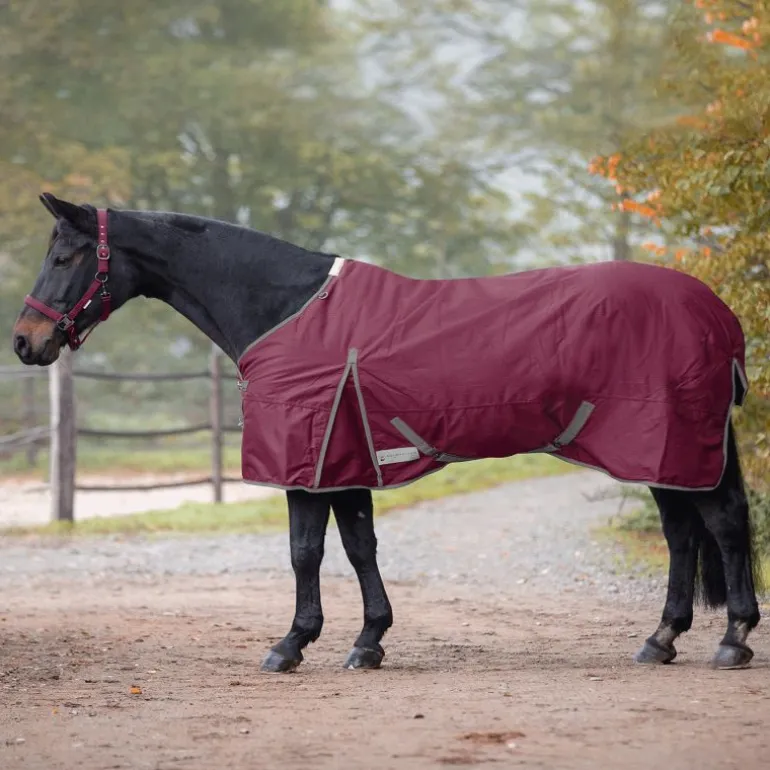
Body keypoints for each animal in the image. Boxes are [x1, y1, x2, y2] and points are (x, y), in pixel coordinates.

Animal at [12, 193, 761, 673]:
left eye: (67, 255)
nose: (25, 342)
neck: (286, 307)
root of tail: (717, 313)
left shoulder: (309, 460)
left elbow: (306, 552)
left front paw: (292, 644)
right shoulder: (343, 460)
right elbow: (358, 547)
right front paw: (367, 640)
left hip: (668, 441)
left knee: (721, 524)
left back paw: (733, 639)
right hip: (659, 451)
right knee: (682, 533)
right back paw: (662, 639)